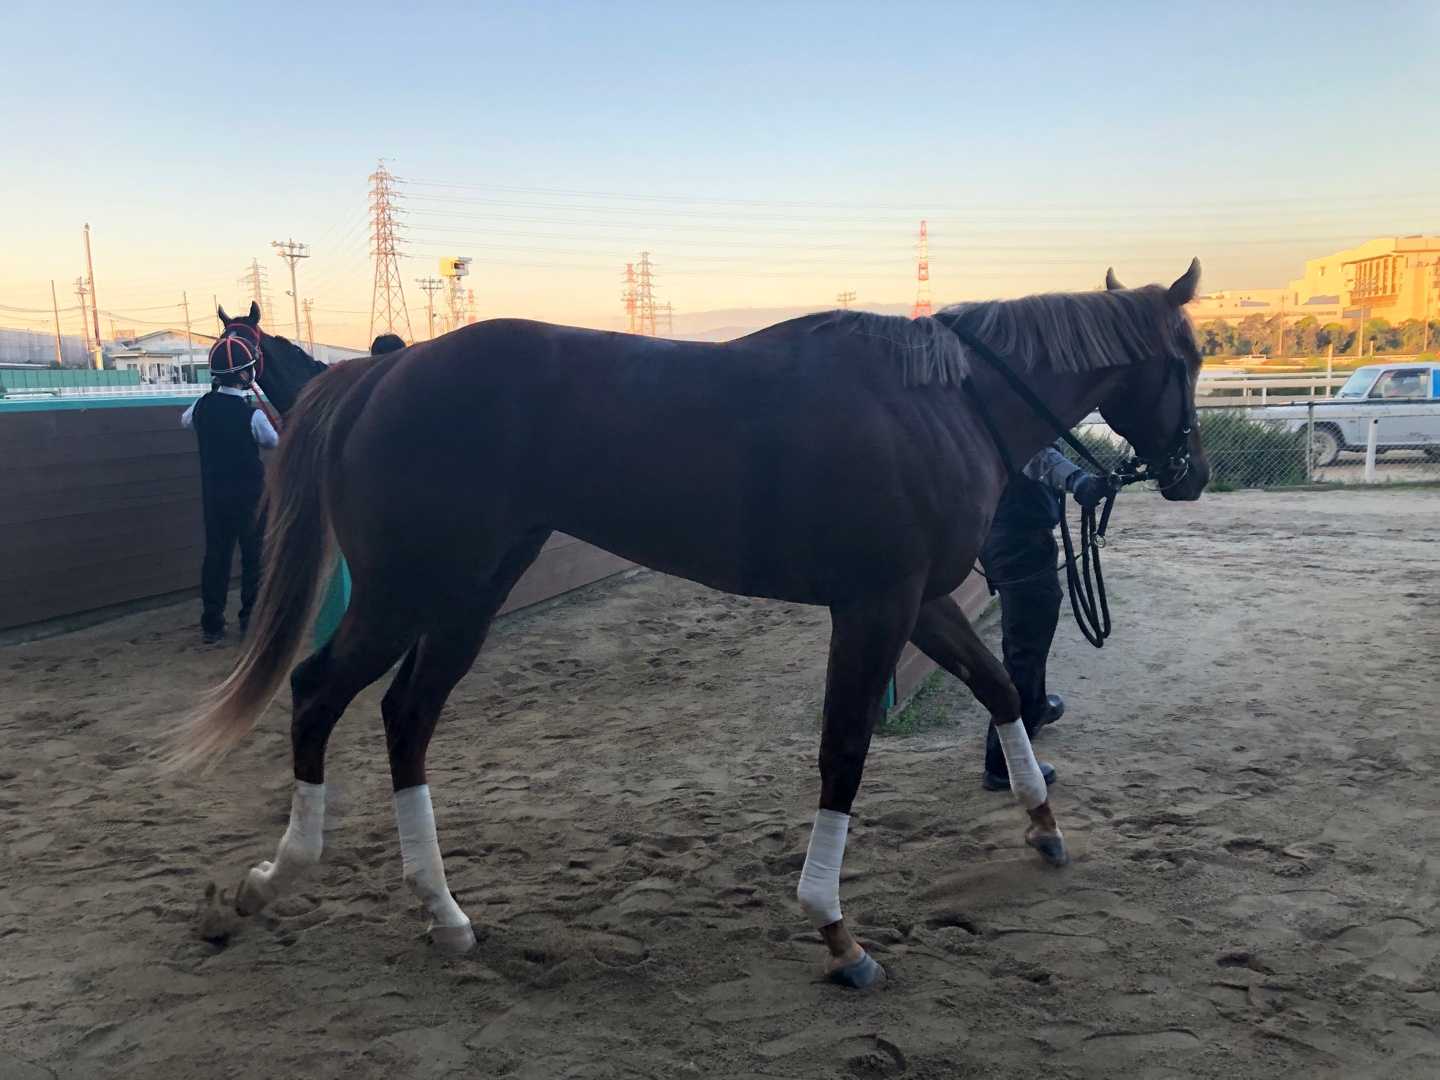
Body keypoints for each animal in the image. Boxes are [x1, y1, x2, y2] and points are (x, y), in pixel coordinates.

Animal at [176, 262, 1210, 988]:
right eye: (1192, 360)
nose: (1192, 472)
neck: (939, 401)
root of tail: (381, 376)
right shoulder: (875, 604)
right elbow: (843, 751)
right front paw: (837, 930)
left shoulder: (918, 600)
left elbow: (996, 686)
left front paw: (1042, 823)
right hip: (406, 591)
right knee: (319, 694)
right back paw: (271, 881)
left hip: (468, 595)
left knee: (407, 718)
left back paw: (444, 915)